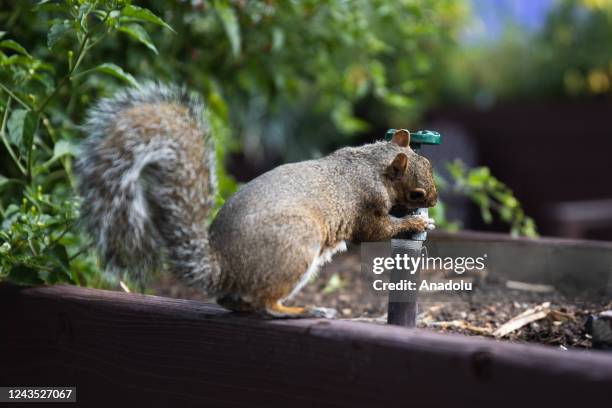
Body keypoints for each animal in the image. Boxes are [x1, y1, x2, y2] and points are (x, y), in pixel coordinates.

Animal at [76, 83, 438, 318]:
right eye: (417, 193)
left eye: (429, 164)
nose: (433, 201)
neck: (373, 164)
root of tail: (223, 269)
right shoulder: (367, 204)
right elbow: (375, 231)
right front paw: (417, 221)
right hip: (296, 246)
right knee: (267, 305)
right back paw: (303, 310)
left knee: (240, 305)